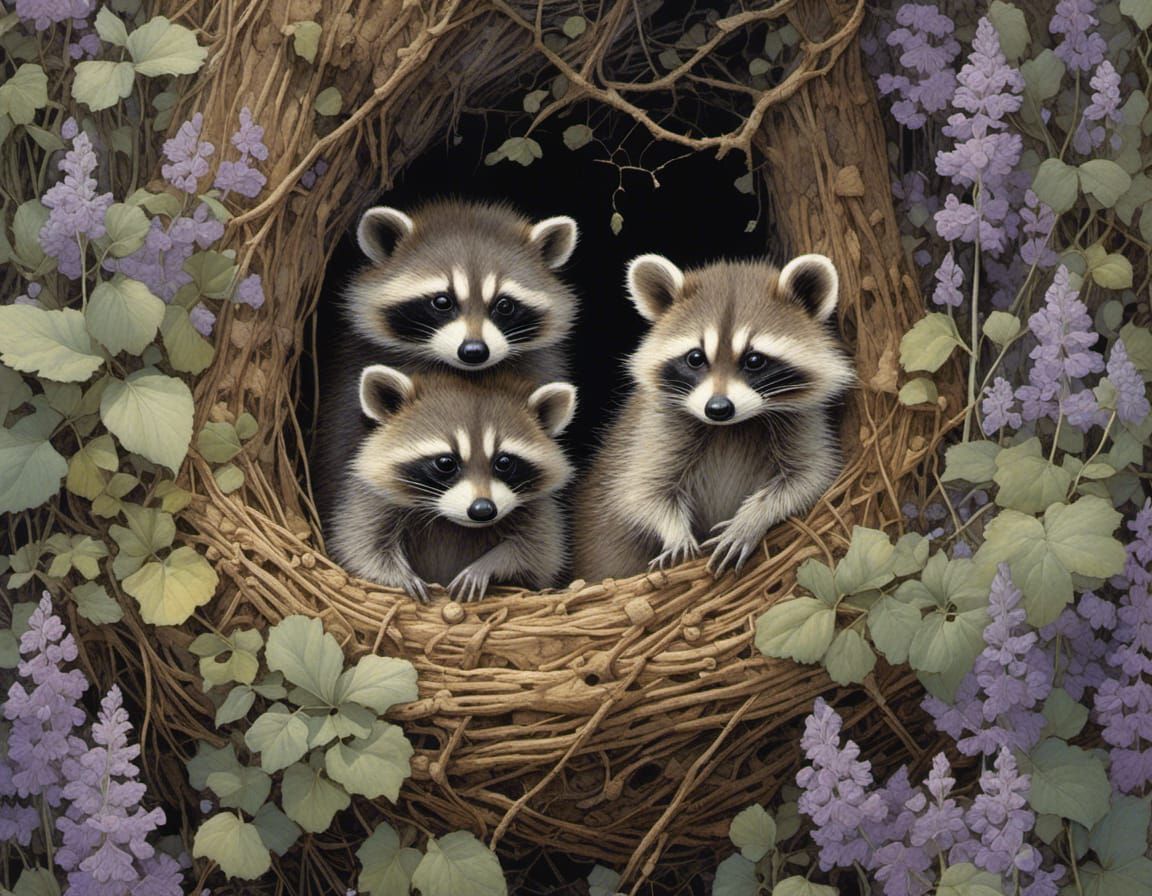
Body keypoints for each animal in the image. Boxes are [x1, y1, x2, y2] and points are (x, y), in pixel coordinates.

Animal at [328, 365, 577, 602]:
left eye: (504, 462)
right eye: (446, 463)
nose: (482, 510)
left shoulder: (540, 511)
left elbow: (539, 553)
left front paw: (485, 566)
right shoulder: (373, 500)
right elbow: (360, 546)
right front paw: (399, 576)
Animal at [573, 253, 854, 582]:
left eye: (754, 360)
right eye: (695, 358)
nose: (718, 408)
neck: (731, 427)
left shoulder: (802, 421)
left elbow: (809, 477)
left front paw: (751, 518)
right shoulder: (656, 427)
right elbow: (641, 489)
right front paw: (675, 533)